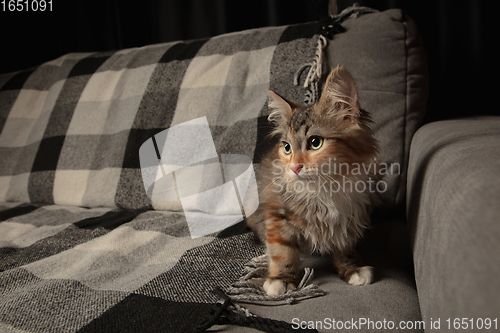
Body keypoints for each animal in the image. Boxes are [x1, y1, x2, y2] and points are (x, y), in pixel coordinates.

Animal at [246, 66, 378, 294]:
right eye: (287, 147)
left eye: (315, 142)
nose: (294, 167)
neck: (325, 188)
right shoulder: (276, 214)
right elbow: (282, 251)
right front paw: (281, 280)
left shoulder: (350, 215)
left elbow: (345, 247)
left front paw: (352, 269)